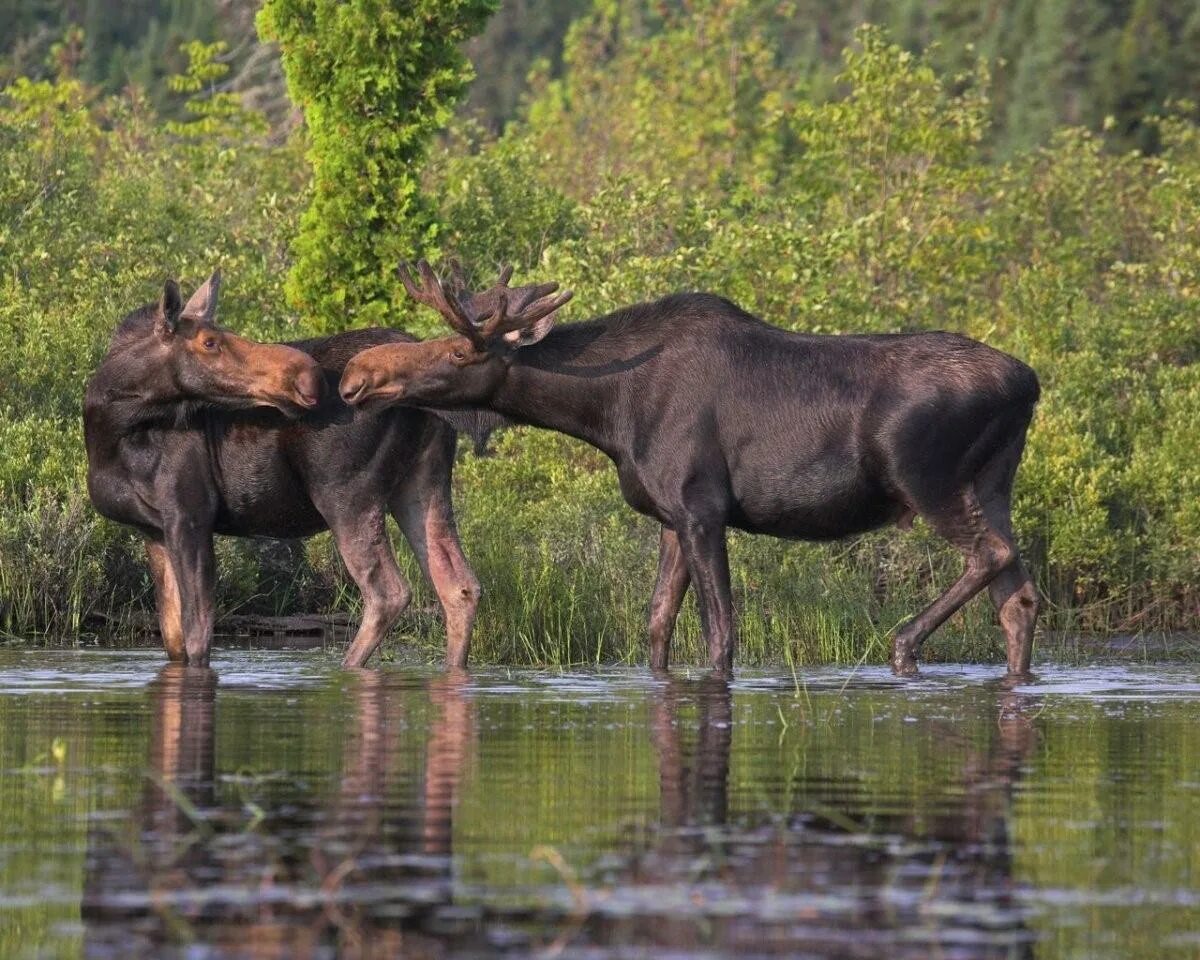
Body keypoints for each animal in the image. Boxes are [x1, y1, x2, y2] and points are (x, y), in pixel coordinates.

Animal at [338, 262, 1041, 676]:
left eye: (459, 350)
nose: (356, 377)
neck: (606, 414)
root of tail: (1029, 383)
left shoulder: (703, 509)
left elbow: (721, 634)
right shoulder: (669, 516)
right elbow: (656, 626)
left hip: (927, 478)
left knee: (993, 554)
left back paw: (903, 646)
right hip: (993, 483)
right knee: (1019, 596)